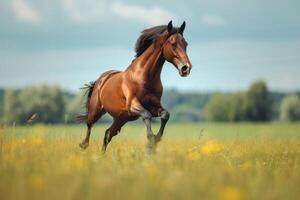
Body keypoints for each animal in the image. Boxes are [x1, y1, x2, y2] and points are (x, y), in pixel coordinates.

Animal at [78, 20, 192, 153]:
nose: (186, 68)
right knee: (90, 125)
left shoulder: (154, 105)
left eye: (186, 44)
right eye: (173, 44)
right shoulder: (133, 105)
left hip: (121, 118)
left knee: (108, 134)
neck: (144, 77)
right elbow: (146, 115)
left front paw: (155, 142)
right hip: (96, 111)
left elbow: (165, 115)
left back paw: (102, 155)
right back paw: (84, 145)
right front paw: (150, 142)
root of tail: (101, 79)